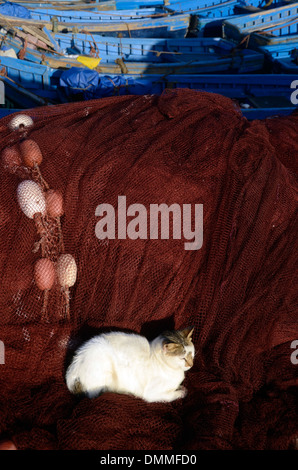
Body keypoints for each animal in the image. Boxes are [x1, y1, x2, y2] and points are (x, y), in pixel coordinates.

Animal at [66, 328, 196, 402]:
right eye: (183, 358)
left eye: (192, 354)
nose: (191, 365)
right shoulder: (151, 394)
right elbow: (169, 395)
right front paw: (181, 391)